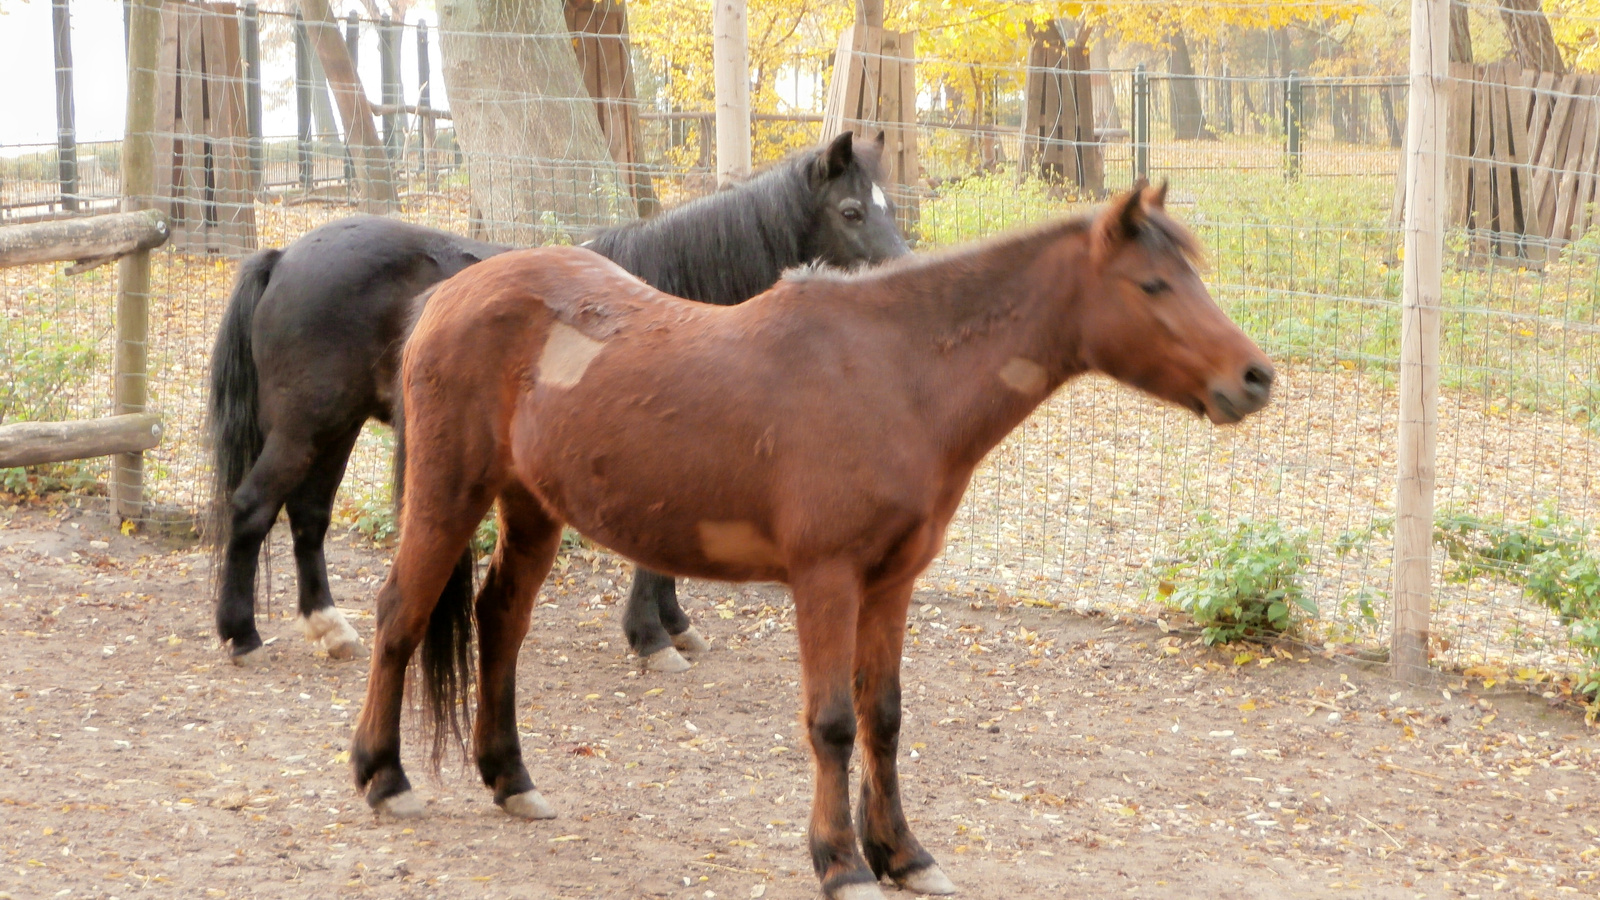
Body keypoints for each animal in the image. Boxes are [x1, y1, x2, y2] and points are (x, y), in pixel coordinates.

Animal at [206, 131, 908, 666]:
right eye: (851, 211)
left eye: (890, 207)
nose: (905, 275)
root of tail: (284, 256)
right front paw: (651, 638)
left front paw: (674, 625)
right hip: (307, 425)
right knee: (252, 506)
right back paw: (242, 634)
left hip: (336, 425)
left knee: (308, 516)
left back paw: (329, 627)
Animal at [350, 184, 1273, 896]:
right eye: (1153, 284)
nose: (1255, 377)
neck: (894, 372)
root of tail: (451, 295)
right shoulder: (826, 580)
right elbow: (831, 723)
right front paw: (841, 862)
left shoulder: (893, 584)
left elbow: (884, 718)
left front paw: (904, 854)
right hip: (447, 494)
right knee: (400, 614)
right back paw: (383, 777)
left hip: (532, 508)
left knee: (500, 621)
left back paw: (511, 779)